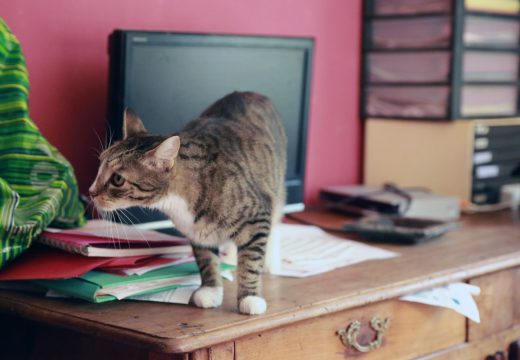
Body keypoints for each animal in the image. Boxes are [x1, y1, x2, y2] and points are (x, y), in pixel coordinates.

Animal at [88, 91, 286, 314]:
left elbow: (251, 261)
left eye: (117, 179)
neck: (177, 203)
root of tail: (251, 93)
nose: (91, 192)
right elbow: (207, 260)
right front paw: (210, 290)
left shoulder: (256, 214)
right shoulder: (197, 233)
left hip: (275, 186)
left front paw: (250, 297)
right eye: (100, 166)